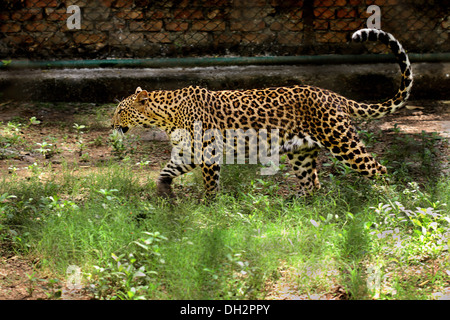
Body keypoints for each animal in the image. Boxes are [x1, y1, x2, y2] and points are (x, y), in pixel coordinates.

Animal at [110, 28, 414, 198]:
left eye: (120, 111)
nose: (111, 125)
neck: (166, 116)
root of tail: (333, 94)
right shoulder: (188, 153)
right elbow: (166, 170)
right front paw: (163, 192)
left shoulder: (208, 153)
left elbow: (210, 185)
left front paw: (209, 208)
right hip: (301, 152)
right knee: (312, 184)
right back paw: (296, 209)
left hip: (342, 142)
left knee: (379, 169)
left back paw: (390, 203)